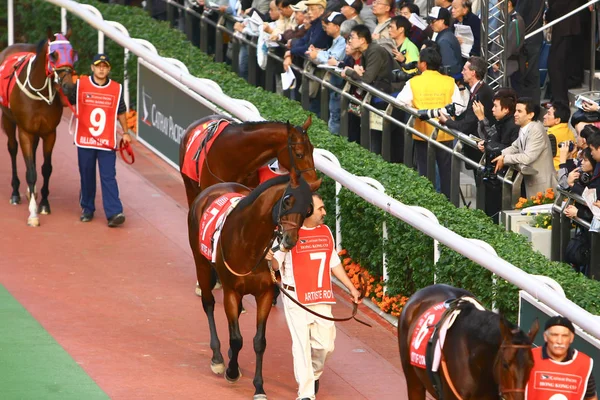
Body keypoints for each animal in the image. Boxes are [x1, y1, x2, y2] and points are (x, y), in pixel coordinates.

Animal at [0, 28, 77, 225]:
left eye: (73, 53)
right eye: (53, 55)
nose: (69, 86)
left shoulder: (50, 132)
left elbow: (46, 169)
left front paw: (43, 204)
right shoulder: (25, 131)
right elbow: (31, 172)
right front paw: (33, 213)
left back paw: (30, 191)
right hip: (8, 119)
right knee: (12, 148)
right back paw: (15, 192)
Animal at [189, 166, 322, 400]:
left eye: (308, 208)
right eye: (287, 200)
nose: (289, 240)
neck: (249, 241)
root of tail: (216, 187)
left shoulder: (265, 293)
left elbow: (259, 341)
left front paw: (259, 387)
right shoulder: (231, 291)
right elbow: (236, 338)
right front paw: (232, 371)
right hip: (201, 263)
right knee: (208, 304)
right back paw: (218, 357)